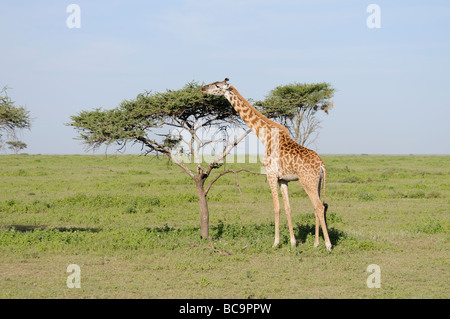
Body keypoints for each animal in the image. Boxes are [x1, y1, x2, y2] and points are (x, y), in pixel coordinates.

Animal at [202, 78, 332, 252]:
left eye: (217, 85)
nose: (203, 88)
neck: (265, 136)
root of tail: (322, 164)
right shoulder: (283, 179)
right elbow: (288, 208)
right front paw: (293, 242)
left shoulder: (271, 174)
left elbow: (276, 207)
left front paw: (276, 243)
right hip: (317, 183)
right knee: (316, 207)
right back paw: (316, 243)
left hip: (308, 181)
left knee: (319, 207)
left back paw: (328, 245)